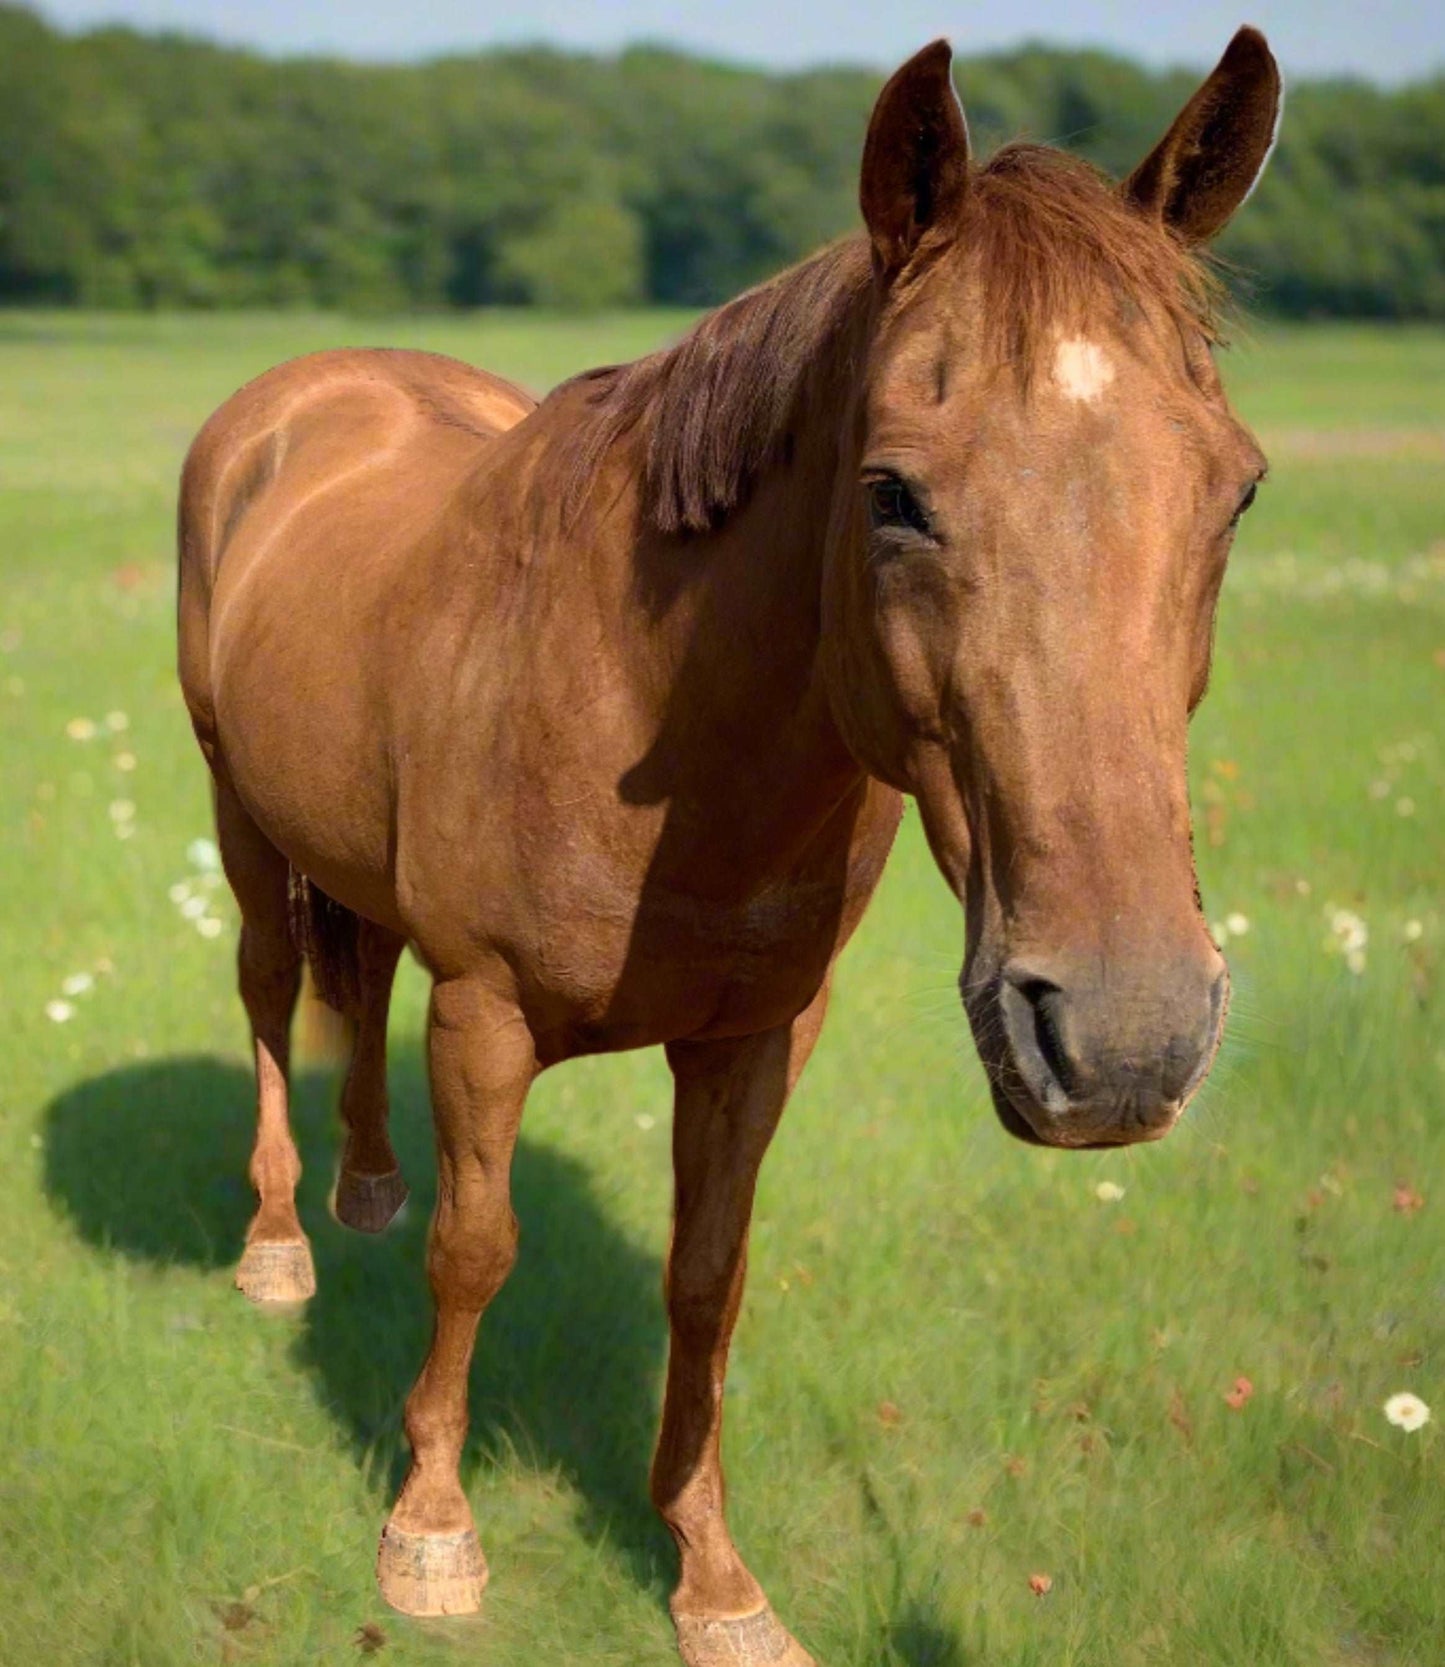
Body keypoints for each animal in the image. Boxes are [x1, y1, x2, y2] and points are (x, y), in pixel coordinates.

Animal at [178, 26, 1280, 1667]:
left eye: (1237, 488)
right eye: (892, 491)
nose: (1126, 1036)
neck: (654, 722)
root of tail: (302, 393)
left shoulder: (759, 1034)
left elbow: (709, 1279)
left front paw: (712, 1576)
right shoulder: (486, 1010)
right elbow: (476, 1249)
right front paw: (430, 1531)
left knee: (354, 981)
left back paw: (363, 1188)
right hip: (238, 818)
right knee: (267, 994)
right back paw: (276, 1244)